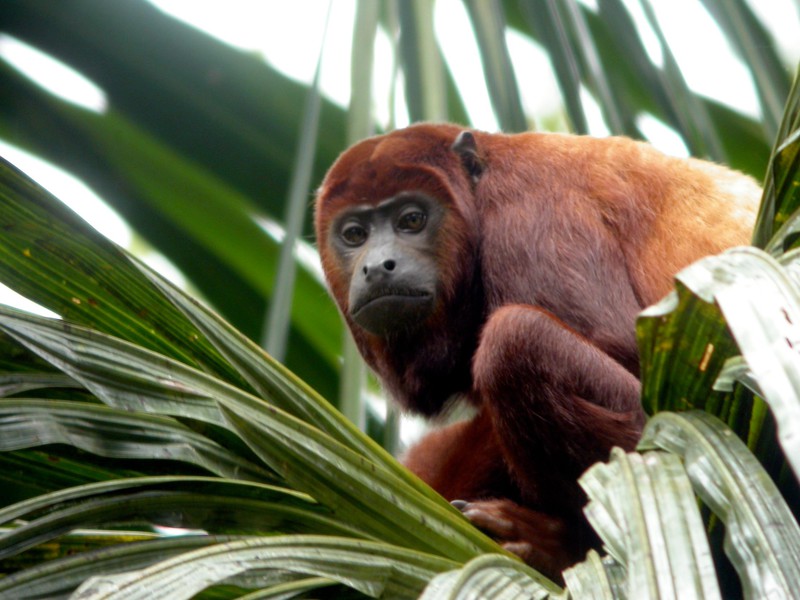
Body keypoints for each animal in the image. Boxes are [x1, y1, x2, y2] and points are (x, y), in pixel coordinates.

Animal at [314, 122, 760, 578]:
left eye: (412, 220)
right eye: (354, 234)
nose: (376, 266)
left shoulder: (531, 215)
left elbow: (625, 350)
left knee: (516, 338)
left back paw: (564, 548)